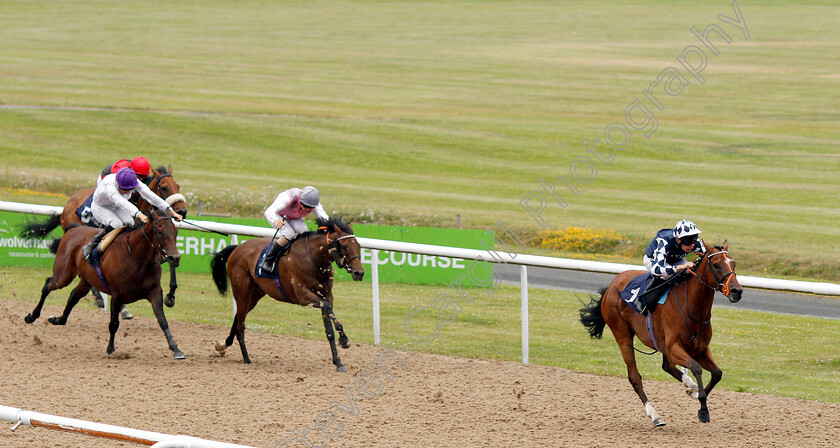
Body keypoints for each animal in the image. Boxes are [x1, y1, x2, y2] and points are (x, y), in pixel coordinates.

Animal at [20, 166, 189, 310]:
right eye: (164, 187)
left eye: (178, 186)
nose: (182, 211)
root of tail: (67, 204)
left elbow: (171, 261)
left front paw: (171, 296)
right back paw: (99, 297)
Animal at [24, 210, 185, 360]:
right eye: (160, 232)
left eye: (176, 232)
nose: (174, 258)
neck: (137, 257)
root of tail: (74, 229)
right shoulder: (117, 295)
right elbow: (114, 323)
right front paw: (110, 349)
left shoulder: (154, 292)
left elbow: (162, 321)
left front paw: (176, 348)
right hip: (63, 275)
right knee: (47, 285)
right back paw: (31, 316)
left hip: (86, 280)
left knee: (73, 297)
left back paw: (57, 319)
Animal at [210, 217, 364, 372]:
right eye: (344, 246)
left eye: (358, 245)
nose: (359, 273)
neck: (314, 259)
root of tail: (238, 248)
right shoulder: (303, 296)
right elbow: (327, 307)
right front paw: (344, 339)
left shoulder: (326, 296)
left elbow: (329, 329)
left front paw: (338, 362)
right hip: (242, 292)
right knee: (241, 325)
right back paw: (247, 358)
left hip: (254, 295)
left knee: (238, 318)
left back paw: (223, 345)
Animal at [576, 242, 740, 428]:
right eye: (716, 264)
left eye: (733, 264)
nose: (737, 291)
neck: (691, 306)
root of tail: (612, 284)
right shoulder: (674, 347)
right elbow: (696, 368)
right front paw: (703, 409)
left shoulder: (700, 349)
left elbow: (717, 373)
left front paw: (694, 392)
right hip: (622, 334)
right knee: (635, 377)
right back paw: (655, 415)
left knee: (667, 366)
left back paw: (688, 384)